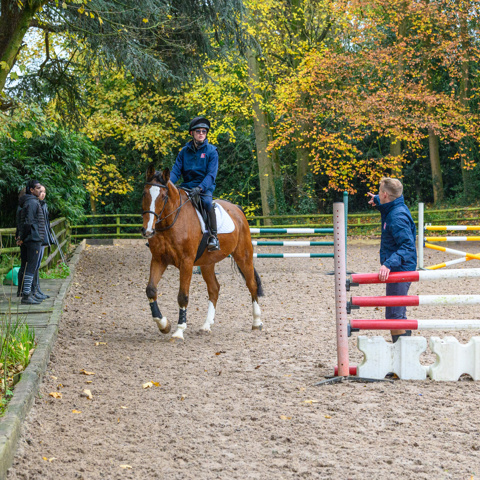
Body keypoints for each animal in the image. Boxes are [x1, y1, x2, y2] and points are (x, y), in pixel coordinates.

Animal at [141, 166, 264, 342]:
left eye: (163, 196)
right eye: (145, 193)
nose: (148, 230)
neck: (171, 222)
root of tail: (237, 209)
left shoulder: (186, 262)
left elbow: (182, 296)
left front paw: (179, 331)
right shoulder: (158, 260)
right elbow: (151, 290)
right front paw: (164, 325)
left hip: (243, 256)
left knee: (251, 284)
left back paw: (256, 322)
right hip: (207, 263)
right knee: (214, 289)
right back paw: (206, 326)